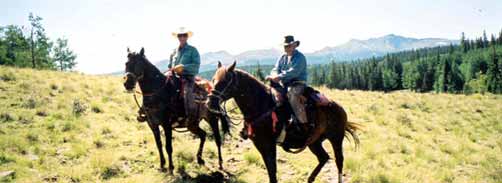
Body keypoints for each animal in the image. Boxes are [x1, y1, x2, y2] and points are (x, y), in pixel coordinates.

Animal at [208, 61, 360, 183]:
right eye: (213, 79)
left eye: (225, 81)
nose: (210, 102)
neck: (262, 106)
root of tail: (339, 107)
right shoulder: (260, 145)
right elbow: (271, 172)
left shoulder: (269, 144)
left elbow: (273, 172)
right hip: (314, 141)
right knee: (323, 158)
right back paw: (310, 179)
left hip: (336, 138)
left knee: (339, 161)